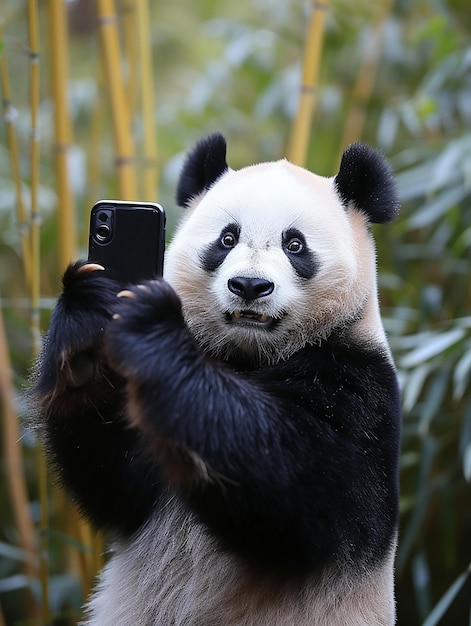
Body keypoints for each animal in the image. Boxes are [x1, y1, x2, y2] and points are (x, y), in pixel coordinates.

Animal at [33, 133, 402, 624]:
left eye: (295, 245)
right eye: (228, 238)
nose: (249, 286)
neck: (248, 357)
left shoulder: (360, 387)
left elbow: (300, 485)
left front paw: (151, 322)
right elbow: (115, 478)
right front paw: (88, 328)